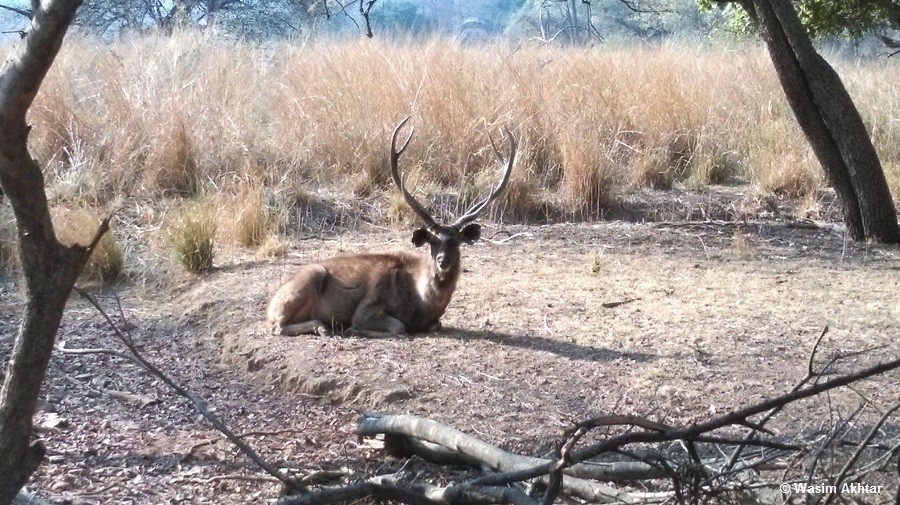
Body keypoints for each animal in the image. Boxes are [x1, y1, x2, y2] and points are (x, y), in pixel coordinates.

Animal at [266, 117, 517, 338]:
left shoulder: (434, 320)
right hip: (308, 278)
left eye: (456, 241)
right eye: (432, 241)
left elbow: (435, 325)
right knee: (277, 327)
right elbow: (398, 327)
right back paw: (324, 327)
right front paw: (353, 329)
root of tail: (269, 306)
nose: (442, 260)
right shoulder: (368, 307)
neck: (422, 303)